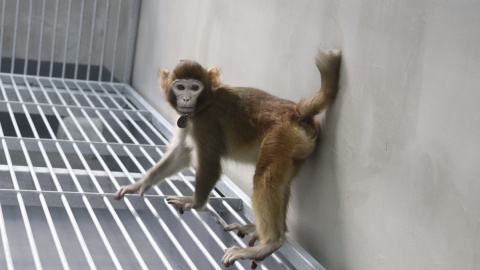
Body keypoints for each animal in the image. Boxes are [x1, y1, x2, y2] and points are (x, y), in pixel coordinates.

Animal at [113, 49, 342, 266]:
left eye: (194, 88)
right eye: (180, 87)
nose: (186, 99)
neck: (207, 103)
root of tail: (295, 111)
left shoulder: (206, 122)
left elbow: (211, 166)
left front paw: (195, 202)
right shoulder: (190, 120)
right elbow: (181, 154)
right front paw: (139, 184)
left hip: (279, 136)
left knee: (265, 177)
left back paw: (270, 242)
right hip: (295, 148)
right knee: (280, 182)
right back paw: (261, 231)